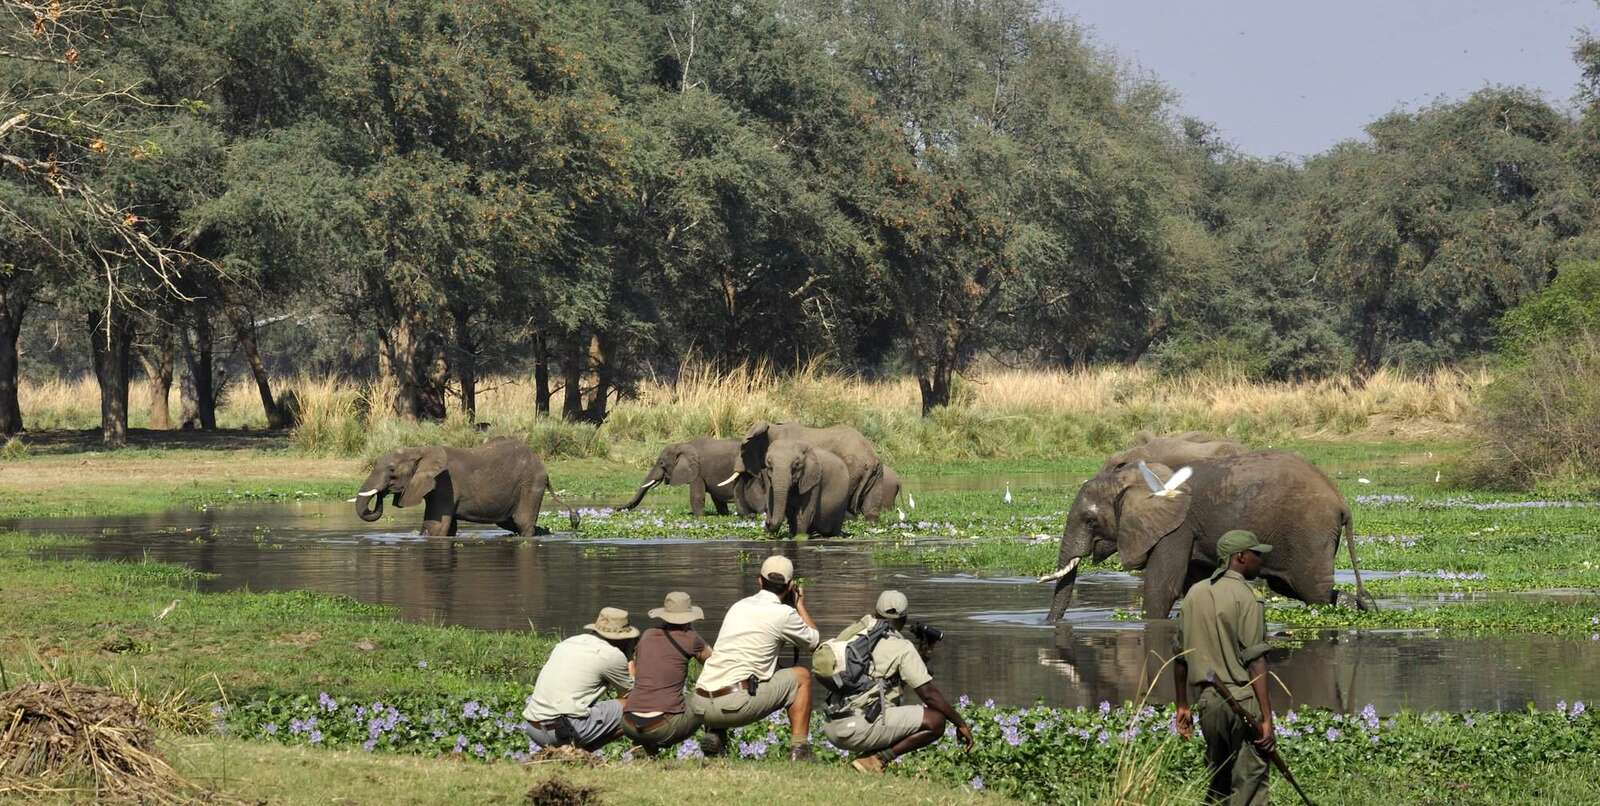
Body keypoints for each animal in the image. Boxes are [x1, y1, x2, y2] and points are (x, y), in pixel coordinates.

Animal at [353, 434, 579, 534]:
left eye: (392, 471)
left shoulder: (444, 485)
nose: (381, 494)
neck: (420, 449)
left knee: (522, 523)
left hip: (531, 485)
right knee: (511, 523)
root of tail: (544, 469)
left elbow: (435, 527)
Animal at [614, 434, 758, 514]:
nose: (615, 508)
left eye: (661, 463)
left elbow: (697, 496)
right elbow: (716, 499)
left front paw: (699, 518)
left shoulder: (698, 471)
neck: (682, 445)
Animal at [729, 422, 889, 514]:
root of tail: (871, 458)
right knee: (870, 507)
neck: (772, 428)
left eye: (743, 448)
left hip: (852, 470)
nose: (751, 515)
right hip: (877, 474)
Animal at [1036, 454, 1376, 623]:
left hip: (1309, 533)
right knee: (1298, 588)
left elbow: (1162, 587)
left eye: (1090, 520)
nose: (1048, 624)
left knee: (1313, 590)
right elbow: (1194, 585)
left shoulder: (1177, 528)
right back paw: (1360, 608)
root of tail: (1342, 502)